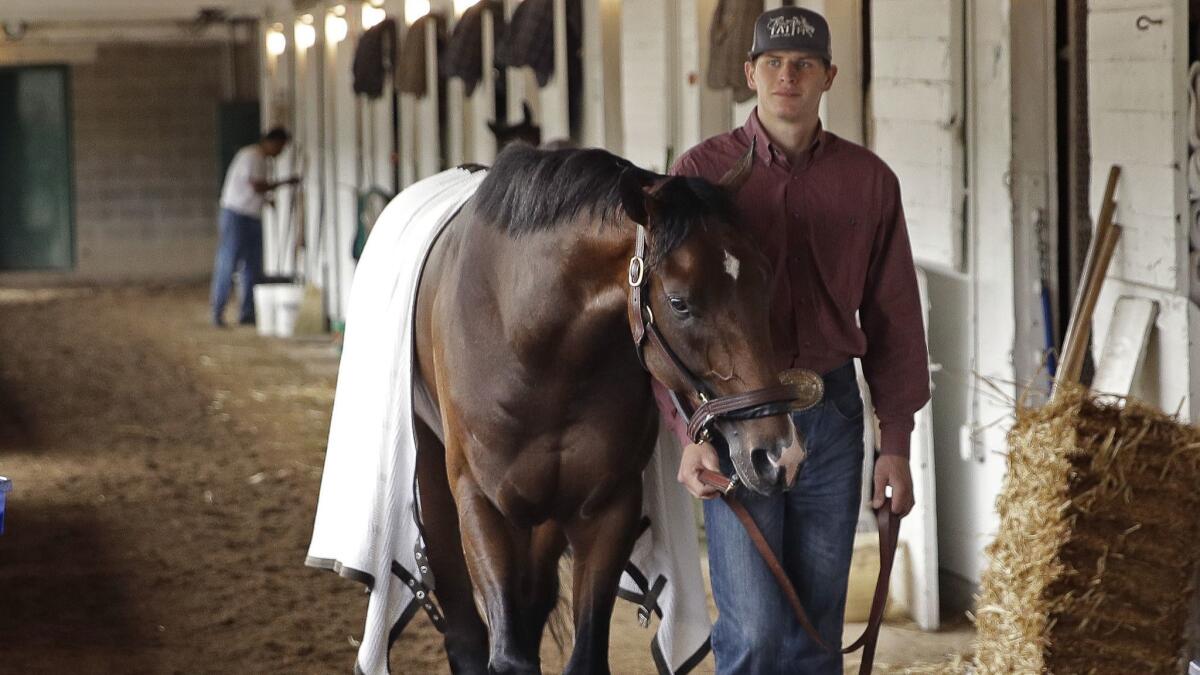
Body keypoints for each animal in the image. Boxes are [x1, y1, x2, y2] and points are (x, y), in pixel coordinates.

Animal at [415, 140, 806, 667]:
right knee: (465, 632)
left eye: (763, 281)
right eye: (680, 302)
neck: (531, 343)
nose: (778, 453)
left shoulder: (606, 507)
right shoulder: (483, 506)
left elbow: (584, 654)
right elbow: (508, 654)